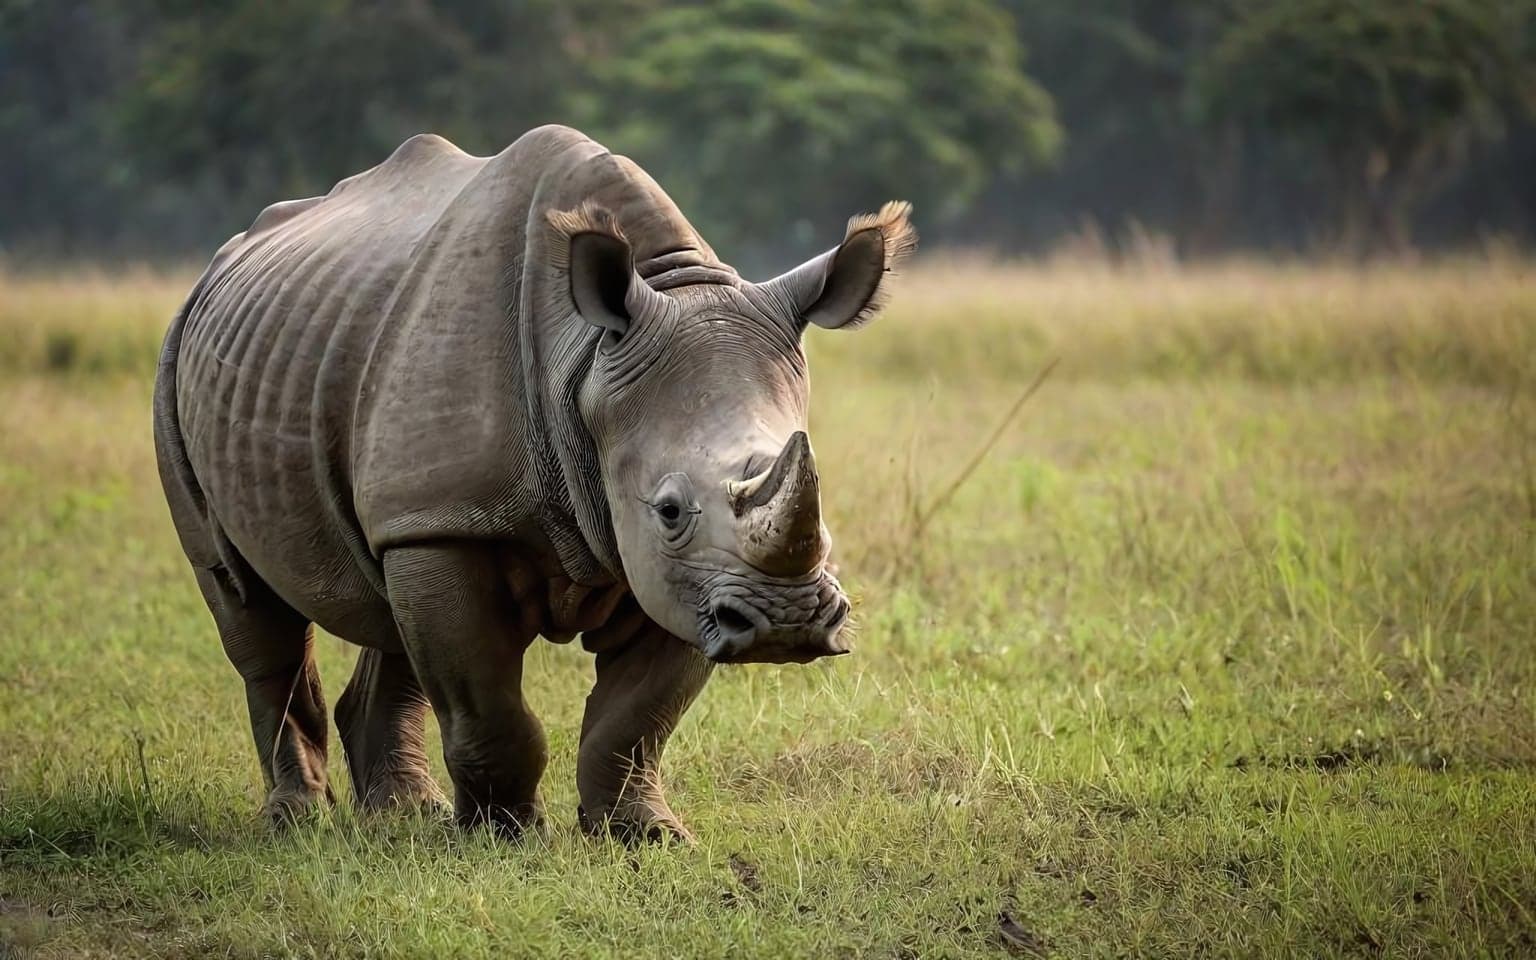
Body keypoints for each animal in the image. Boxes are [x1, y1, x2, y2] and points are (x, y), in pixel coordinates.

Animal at [153, 124, 915, 841]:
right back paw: (301, 819)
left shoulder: (681, 576)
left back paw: (405, 815)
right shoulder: (459, 518)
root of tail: (225, 257)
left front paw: (645, 835)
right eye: (670, 510)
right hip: (179, 367)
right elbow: (486, 702)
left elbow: (637, 716)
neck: (585, 363)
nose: (785, 624)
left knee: (389, 604)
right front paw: (505, 836)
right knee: (247, 605)